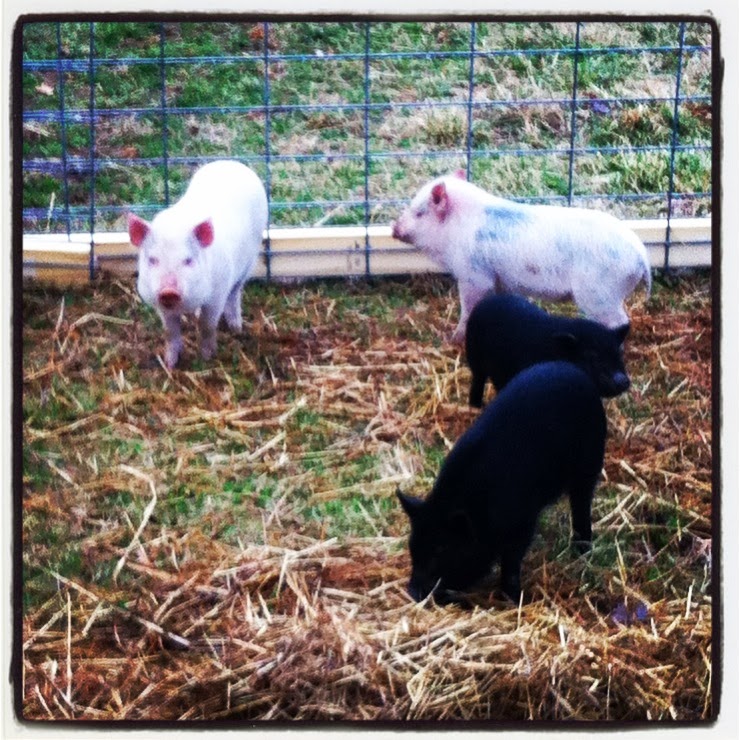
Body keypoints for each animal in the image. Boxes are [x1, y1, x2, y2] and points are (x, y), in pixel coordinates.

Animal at [128, 160, 268, 368]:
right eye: (152, 259)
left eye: (188, 260)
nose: (168, 291)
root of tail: (232, 163)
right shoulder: (160, 305)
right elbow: (170, 332)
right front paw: (170, 364)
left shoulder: (217, 294)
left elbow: (207, 325)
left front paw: (206, 358)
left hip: (249, 259)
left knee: (235, 292)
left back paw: (236, 327)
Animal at [391, 171, 651, 342]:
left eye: (419, 212)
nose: (394, 228)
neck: (458, 228)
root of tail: (641, 255)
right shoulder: (499, 280)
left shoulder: (473, 274)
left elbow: (468, 307)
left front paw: (453, 339)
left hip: (599, 292)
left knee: (620, 322)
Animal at [397, 361, 606, 604]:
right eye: (412, 546)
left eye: (441, 550)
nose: (413, 593)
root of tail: (572, 369)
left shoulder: (523, 522)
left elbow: (512, 563)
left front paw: (513, 599)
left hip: (590, 462)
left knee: (581, 503)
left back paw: (582, 550)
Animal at [466, 293, 631, 406]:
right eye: (591, 356)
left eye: (619, 352)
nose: (622, 379)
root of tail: (485, 301)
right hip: (474, 356)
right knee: (478, 379)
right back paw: (476, 406)